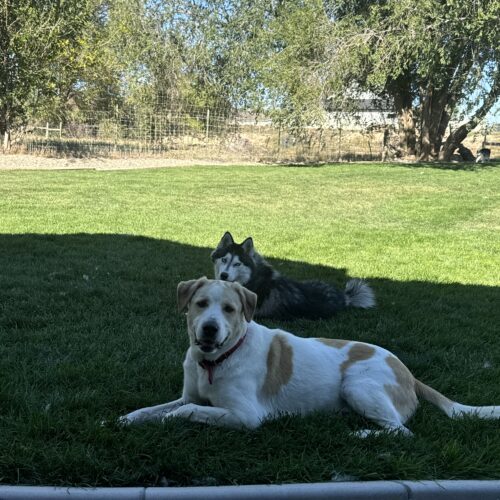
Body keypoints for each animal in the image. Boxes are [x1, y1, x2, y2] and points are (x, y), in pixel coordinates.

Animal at [120, 278, 500, 434]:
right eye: (200, 304)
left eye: (229, 309)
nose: (210, 329)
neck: (215, 362)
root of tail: (408, 372)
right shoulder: (188, 394)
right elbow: (157, 408)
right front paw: (128, 419)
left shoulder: (246, 416)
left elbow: (184, 412)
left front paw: (168, 420)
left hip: (357, 386)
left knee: (401, 432)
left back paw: (361, 435)